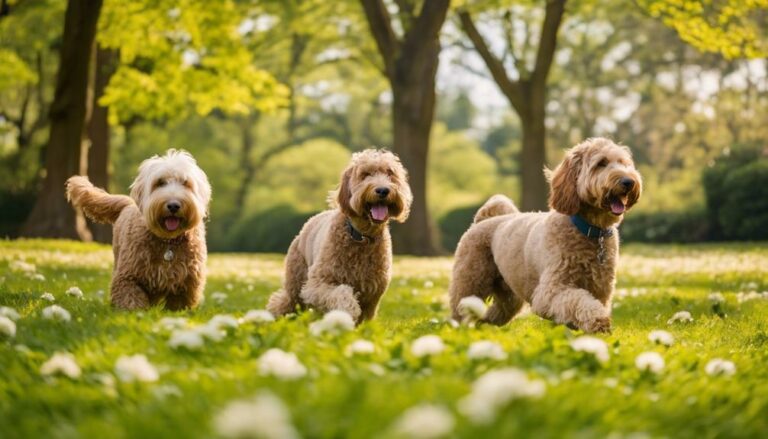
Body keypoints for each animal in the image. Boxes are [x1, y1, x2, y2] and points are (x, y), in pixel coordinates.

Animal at [65, 150, 210, 312]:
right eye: (160, 183)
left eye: (186, 183)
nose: (173, 205)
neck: (168, 241)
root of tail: (129, 203)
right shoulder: (128, 276)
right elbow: (131, 299)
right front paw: (134, 313)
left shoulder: (186, 282)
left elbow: (178, 305)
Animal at [270, 150, 414, 324]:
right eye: (365, 175)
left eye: (390, 174)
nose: (382, 190)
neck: (361, 236)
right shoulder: (317, 285)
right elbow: (342, 294)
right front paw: (347, 313)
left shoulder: (372, 295)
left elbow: (364, 317)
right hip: (296, 283)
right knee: (283, 301)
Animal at [450, 139, 640, 336]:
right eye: (601, 163)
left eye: (624, 163)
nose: (629, 181)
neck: (589, 230)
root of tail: (481, 221)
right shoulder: (549, 292)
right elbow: (580, 301)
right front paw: (598, 321)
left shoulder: (601, 291)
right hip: (470, 282)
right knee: (461, 311)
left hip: (509, 295)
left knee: (494, 313)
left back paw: (483, 326)